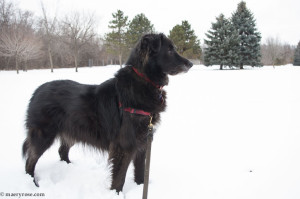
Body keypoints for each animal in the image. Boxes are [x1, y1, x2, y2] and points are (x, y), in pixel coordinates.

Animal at [22, 33, 193, 192]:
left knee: (62, 151)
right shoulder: (124, 146)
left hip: (73, 131)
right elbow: (119, 178)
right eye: (169, 50)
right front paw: (116, 193)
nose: (191, 64)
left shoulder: (143, 142)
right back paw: (33, 183)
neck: (143, 80)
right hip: (43, 135)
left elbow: (140, 171)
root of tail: (37, 91)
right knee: (30, 161)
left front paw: (140, 188)